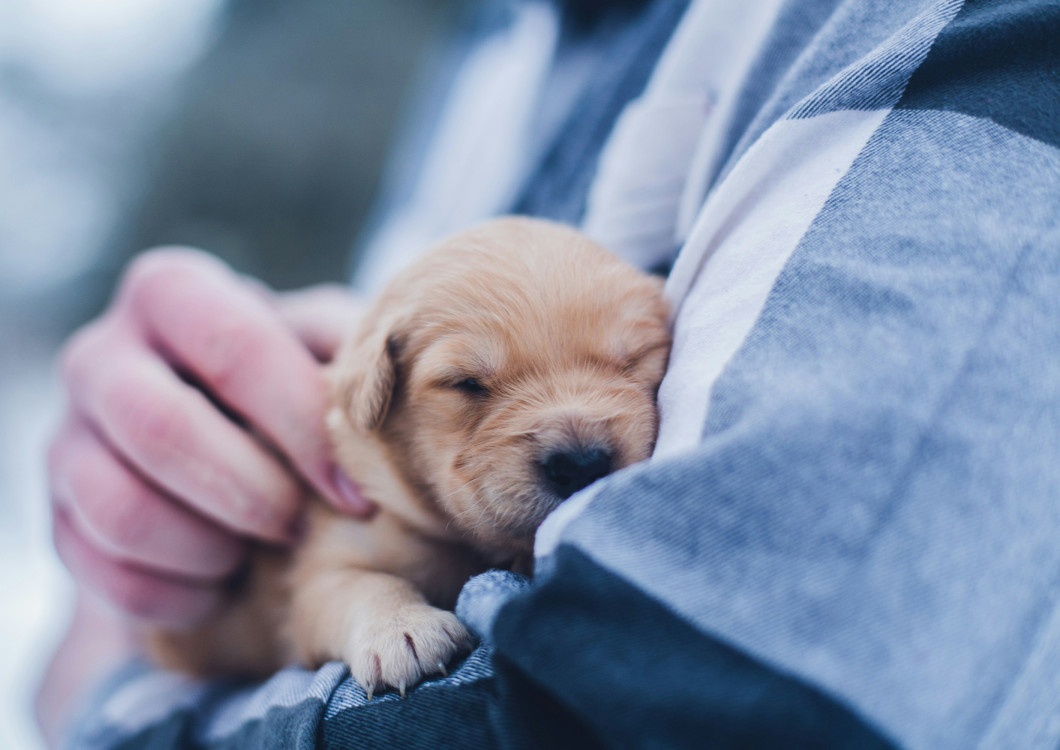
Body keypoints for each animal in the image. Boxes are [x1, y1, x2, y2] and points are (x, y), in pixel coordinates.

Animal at [147, 215, 669, 699]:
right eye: (466, 383)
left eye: (634, 358)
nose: (580, 464)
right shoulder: (321, 567)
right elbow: (361, 584)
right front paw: (402, 629)